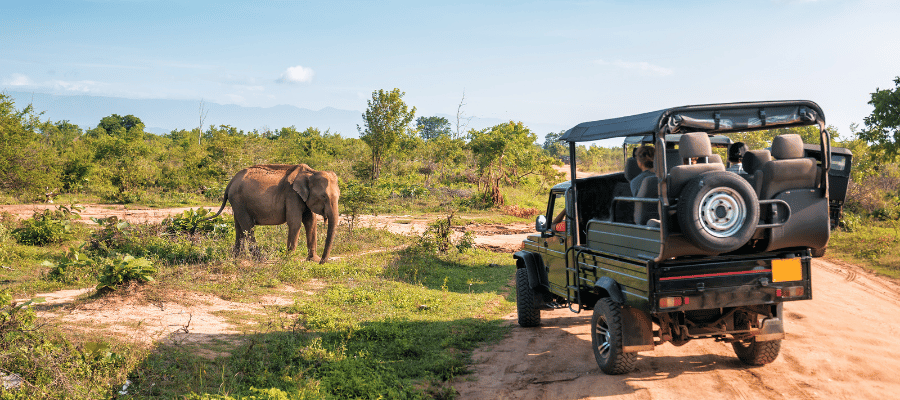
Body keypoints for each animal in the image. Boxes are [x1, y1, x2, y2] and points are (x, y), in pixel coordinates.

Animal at [206, 162, 340, 262]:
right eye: (324, 197)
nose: (323, 261)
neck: (311, 172)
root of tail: (230, 183)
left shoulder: (303, 198)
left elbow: (310, 222)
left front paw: (313, 260)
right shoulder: (292, 195)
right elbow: (295, 223)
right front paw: (289, 259)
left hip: (237, 203)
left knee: (239, 227)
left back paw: (237, 257)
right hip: (239, 200)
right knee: (248, 226)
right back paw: (260, 259)